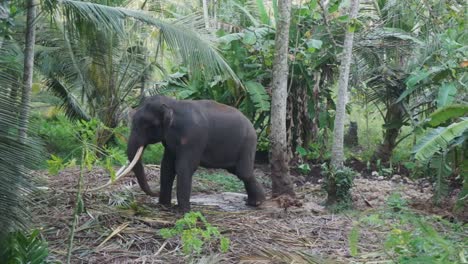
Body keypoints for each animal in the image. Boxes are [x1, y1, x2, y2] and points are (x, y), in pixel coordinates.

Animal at [114, 95, 266, 212]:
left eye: (147, 125)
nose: (155, 192)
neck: (173, 104)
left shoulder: (193, 137)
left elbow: (184, 167)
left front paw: (183, 211)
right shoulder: (169, 142)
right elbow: (167, 167)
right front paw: (164, 206)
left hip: (248, 143)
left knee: (243, 172)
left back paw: (257, 202)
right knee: (239, 171)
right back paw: (256, 202)